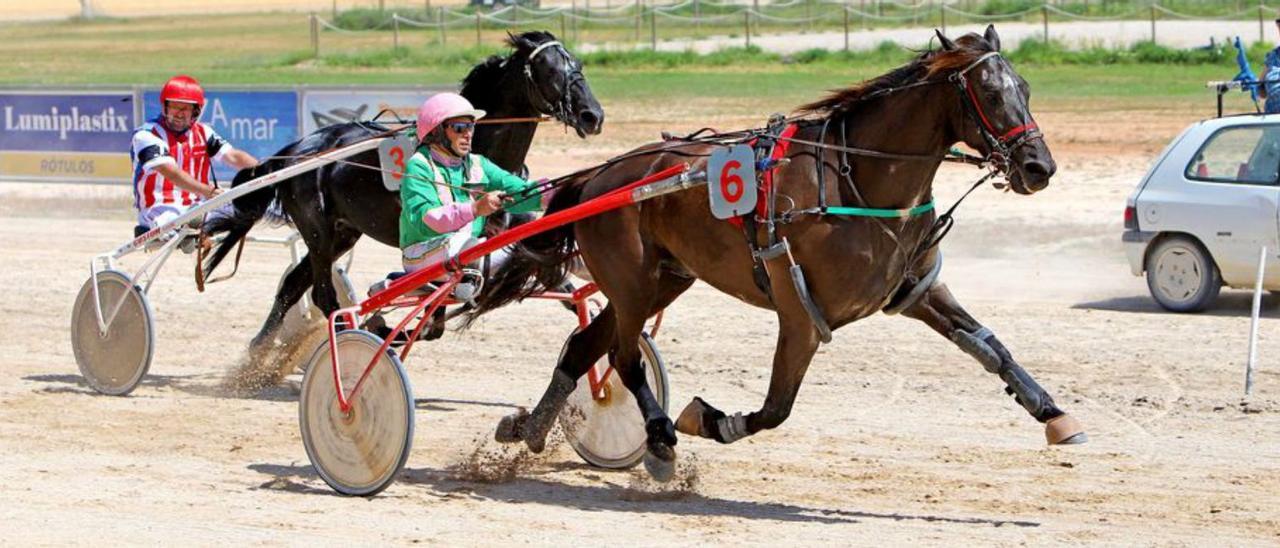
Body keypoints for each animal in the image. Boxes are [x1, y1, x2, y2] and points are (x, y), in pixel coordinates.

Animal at [202, 32, 601, 353]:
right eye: (550, 69)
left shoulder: (515, 234)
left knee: (294, 284)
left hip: (342, 233)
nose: (592, 115)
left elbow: (556, 279)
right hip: (317, 231)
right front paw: (390, 324)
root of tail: (297, 149)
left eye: (578, 64)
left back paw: (258, 352)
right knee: (320, 292)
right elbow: (441, 304)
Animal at [468, 25, 1080, 478]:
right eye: (992, 94)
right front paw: (708, 420)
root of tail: (600, 177)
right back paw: (659, 438)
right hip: (633, 280)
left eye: (1026, 87)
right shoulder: (801, 313)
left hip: (661, 280)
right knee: (621, 357)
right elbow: (775, 409)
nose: (1039, 167)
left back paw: (531, 429)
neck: (858, 181)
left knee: (586, 346)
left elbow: (990, 347)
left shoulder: (916, 291)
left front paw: (1052, 411)